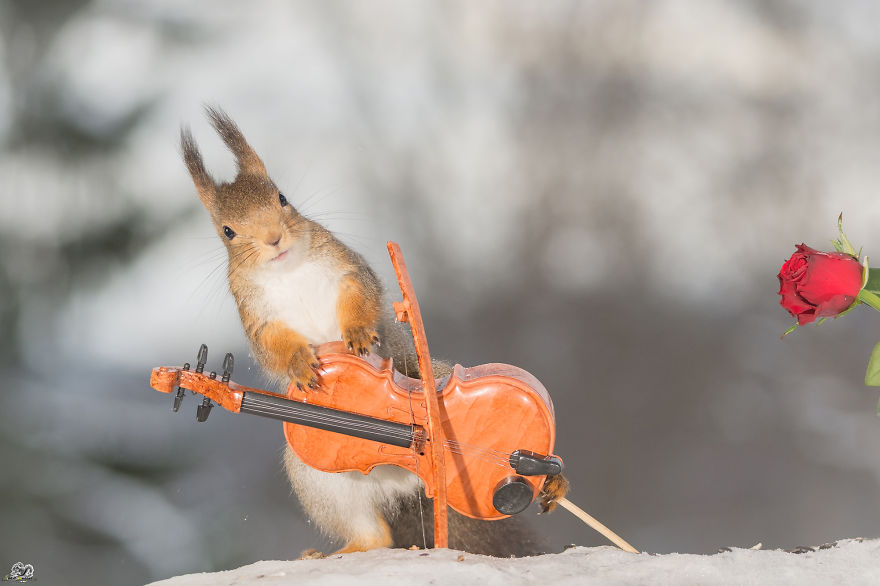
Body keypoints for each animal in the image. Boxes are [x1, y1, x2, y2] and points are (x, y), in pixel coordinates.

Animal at [180, 107, 567, 557]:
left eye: (282, 198)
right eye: (227, 231)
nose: (274, 239)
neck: (288, 270)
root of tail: (405, 479)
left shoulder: (346, 269)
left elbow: (359, 297)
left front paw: (359, 334)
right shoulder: (257, 316)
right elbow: (274, 346)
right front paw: (299, 363)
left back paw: (553, 479)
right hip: (322, 478)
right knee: (374, 536)